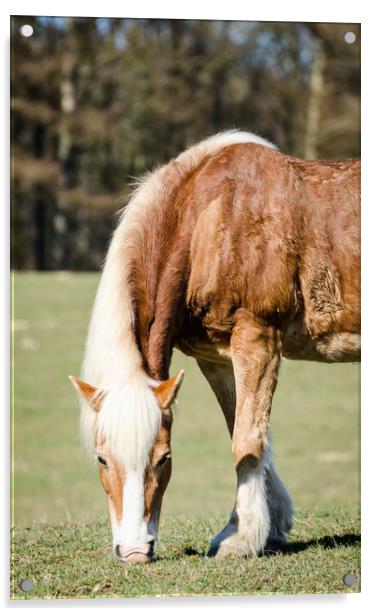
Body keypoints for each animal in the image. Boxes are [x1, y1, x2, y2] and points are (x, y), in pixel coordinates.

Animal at [69, 130, 360, 564]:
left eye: (165, 458)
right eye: (102, 458)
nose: (134, 552)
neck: (212, 218)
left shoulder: (257, 341)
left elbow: (247, 442)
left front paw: (240, 539)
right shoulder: (217, 358)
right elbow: (245, 432)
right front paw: (268, 525)